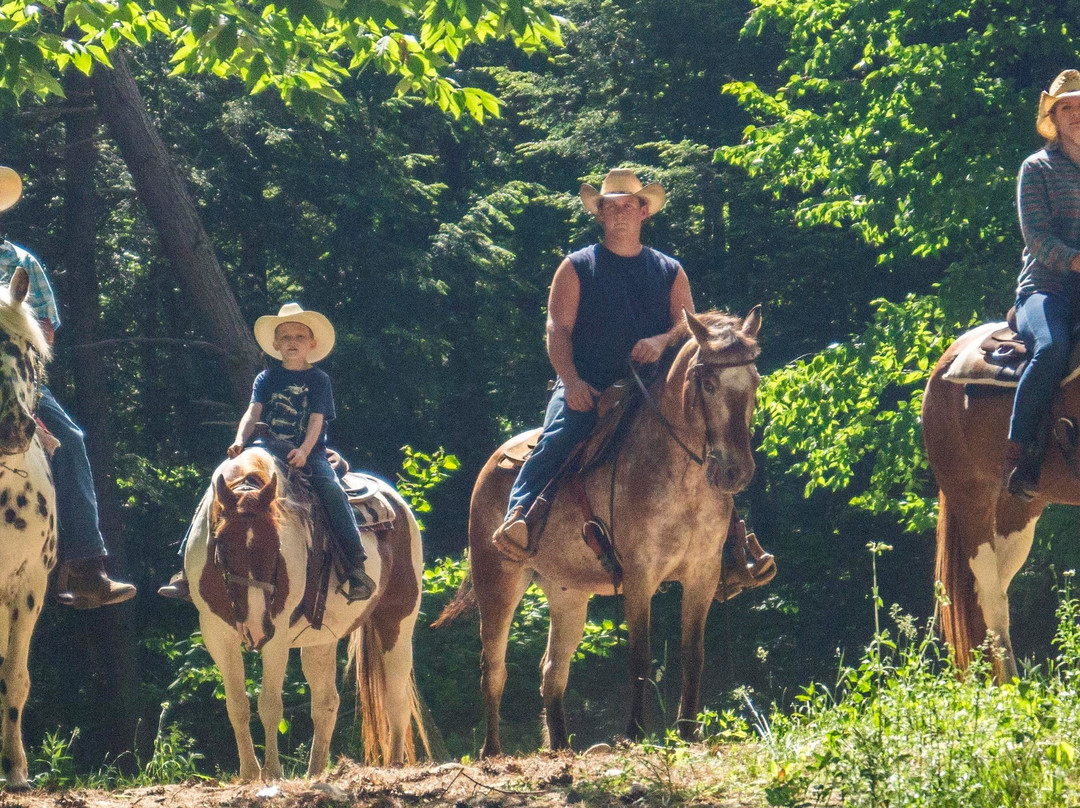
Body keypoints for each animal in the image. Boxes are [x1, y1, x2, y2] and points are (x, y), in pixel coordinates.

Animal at [183, 447, 423, 777]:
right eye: (219, 542)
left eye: (276, 545)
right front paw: (249, 775)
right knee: (326, 703)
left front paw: (272, 772)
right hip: (321, 641)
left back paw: (395, 765)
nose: (254, 627)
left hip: (397, 622)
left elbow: (270, 705)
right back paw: (316, 772)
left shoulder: (276, 637)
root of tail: (398, 505)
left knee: (396, 699)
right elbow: (237, 705)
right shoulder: (217, 635)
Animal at [434, 306, 764, 756]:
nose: (737, 471)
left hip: (567, 594)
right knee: (493, 668)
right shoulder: (640, 577)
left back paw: (560, 746)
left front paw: (688, 732)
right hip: (497, 583)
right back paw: (492, 752)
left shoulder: (703, 574)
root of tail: (490, 466)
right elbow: (640, 658)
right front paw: (635, 733)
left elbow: (692, 654)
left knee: (552, 670)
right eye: (709, 383)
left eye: (755, 383)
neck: (681, 477)